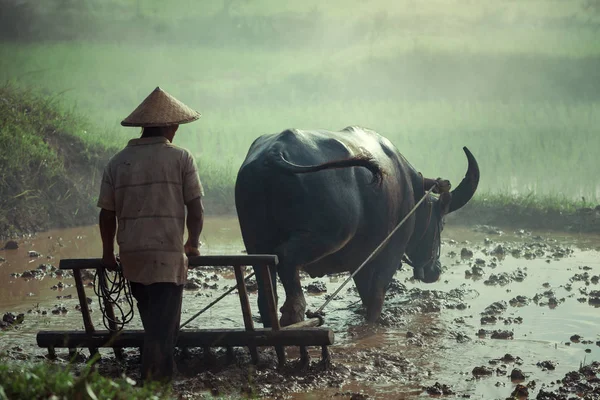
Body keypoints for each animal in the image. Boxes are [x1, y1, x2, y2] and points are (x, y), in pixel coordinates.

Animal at [234, 126, 478, 326]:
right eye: (442, 223)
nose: (435, 270)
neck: (410, 188)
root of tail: (275, 152)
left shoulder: (361, 259)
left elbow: (364, 293)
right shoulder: (389, 253)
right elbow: (376, 297)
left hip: (255, 242)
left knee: (266, 284)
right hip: (329, 235)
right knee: (286, 259)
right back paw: (294, 313)